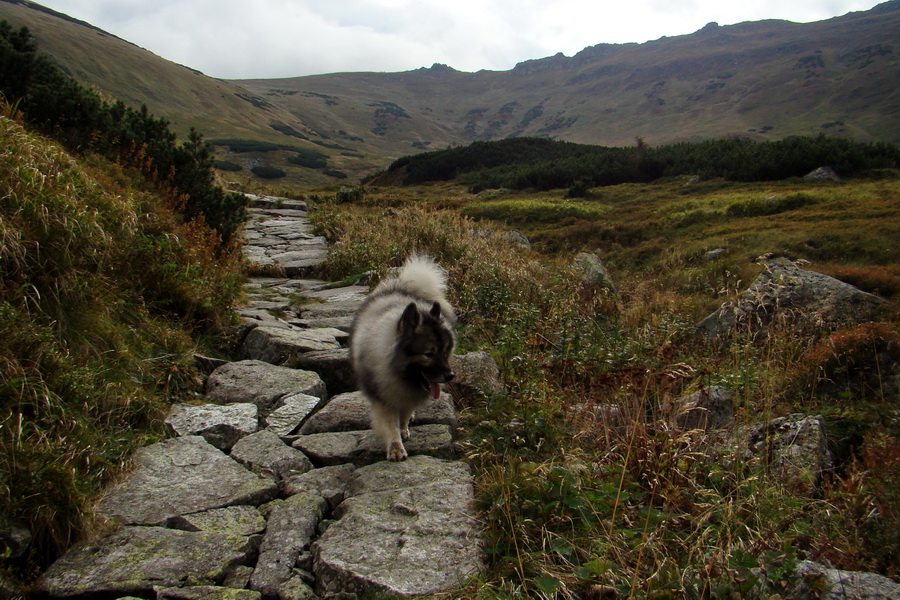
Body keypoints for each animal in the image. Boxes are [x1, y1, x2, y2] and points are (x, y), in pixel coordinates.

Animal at [352, 255, 458, 462]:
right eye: (428, 354)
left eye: (445, 351)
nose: (450, 376)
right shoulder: (384, 396)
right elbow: (390, 424)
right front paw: (395, 448)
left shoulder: (409, 395)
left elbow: (405, 413)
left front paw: (404, 428)